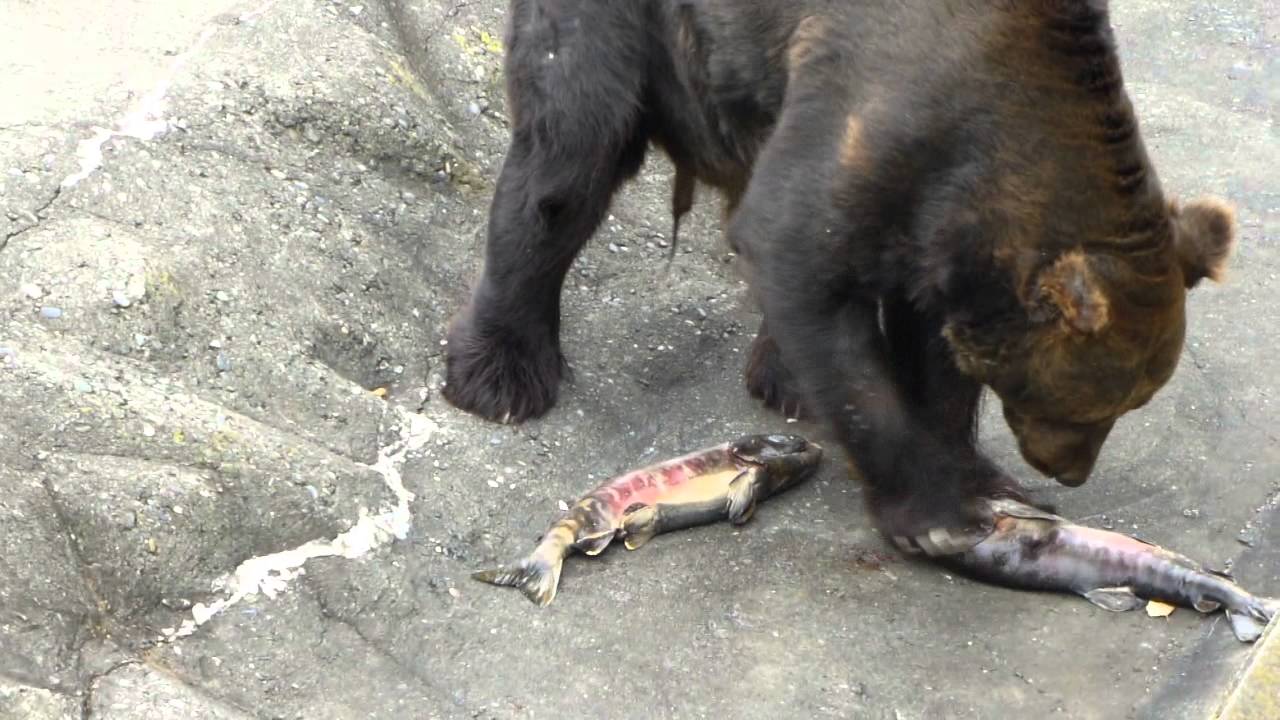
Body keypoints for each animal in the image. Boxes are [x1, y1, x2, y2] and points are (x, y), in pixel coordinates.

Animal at [441, 0, 1236, 551]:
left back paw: (782, 374)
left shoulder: (939, 214)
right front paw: (938, 510)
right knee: (569, 157)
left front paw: (976, 474)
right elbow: (795, 256)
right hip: (628, 28)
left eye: (1130, 402)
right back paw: (500, 374)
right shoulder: (876, 108)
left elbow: (932, 346)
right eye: (1091, 405)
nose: (1070, 469)